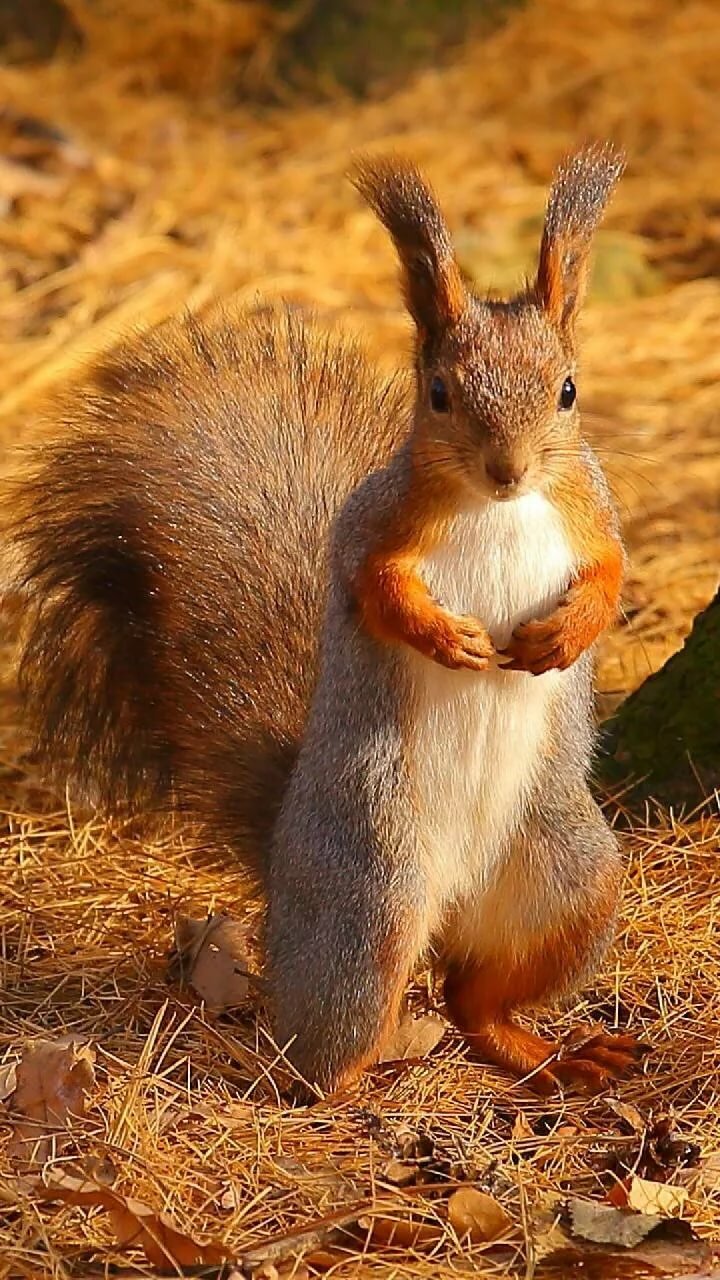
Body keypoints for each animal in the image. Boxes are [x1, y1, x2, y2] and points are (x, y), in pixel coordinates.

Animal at [9, 143, 644, 1098]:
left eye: (568, 391)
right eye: (439, 392)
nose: (508, 469)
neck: (501, 507)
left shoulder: (592, 513)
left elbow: (609, 573)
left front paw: (563, 635)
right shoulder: (371, 525)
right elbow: (371, 587)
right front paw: (446, 636)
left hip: (570, 881)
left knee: (473, 997)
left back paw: (544, 1051)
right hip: (369, 894)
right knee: (328, 1038)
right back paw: (350, 1084)